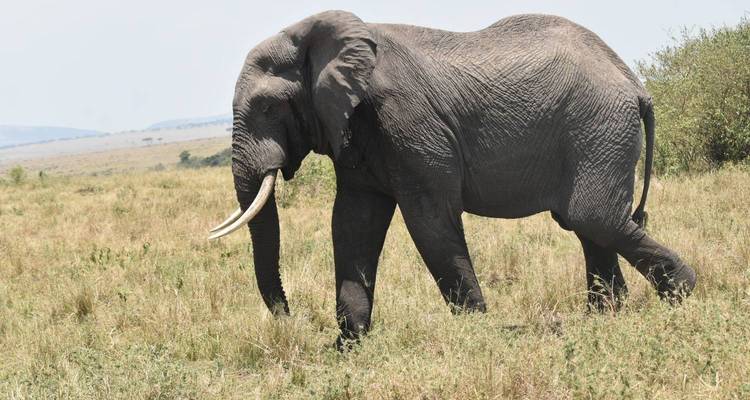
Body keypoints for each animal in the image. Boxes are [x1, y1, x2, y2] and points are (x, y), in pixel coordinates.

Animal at [208, 11, 697, 347]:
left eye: (267, 107)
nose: (291, 320)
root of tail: (635, 84)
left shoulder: (407, 120)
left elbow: (429, 219)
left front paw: (478, 334)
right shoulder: (352, 131)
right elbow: (352, 224)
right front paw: (346, 349)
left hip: (598, 126)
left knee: (593, 218)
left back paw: (682, 296)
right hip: (598, 132)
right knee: (590, 226)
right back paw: (603, 320)